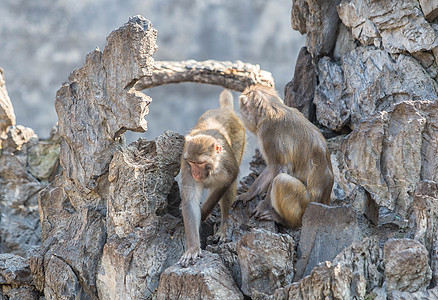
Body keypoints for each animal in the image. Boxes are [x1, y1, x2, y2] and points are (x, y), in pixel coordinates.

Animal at [179, 89, 246, 268]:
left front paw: (203, 214)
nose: (196, 174)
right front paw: (193, 248)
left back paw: (223, 228)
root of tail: (225, 110)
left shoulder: (227, 166)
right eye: (192, 162)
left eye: (200, 163)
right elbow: (190, 200)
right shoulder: (186, 167)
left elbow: (227, 182)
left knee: (230, 188)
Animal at [238, 84, 334, 227]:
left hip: (305, 203)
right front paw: (249, 193)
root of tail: (323, 202)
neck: (271, 108)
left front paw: (263, 206)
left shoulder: (269, 134)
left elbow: (281, 169)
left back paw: (286, 221)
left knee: (281, 181)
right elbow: (271, 169)